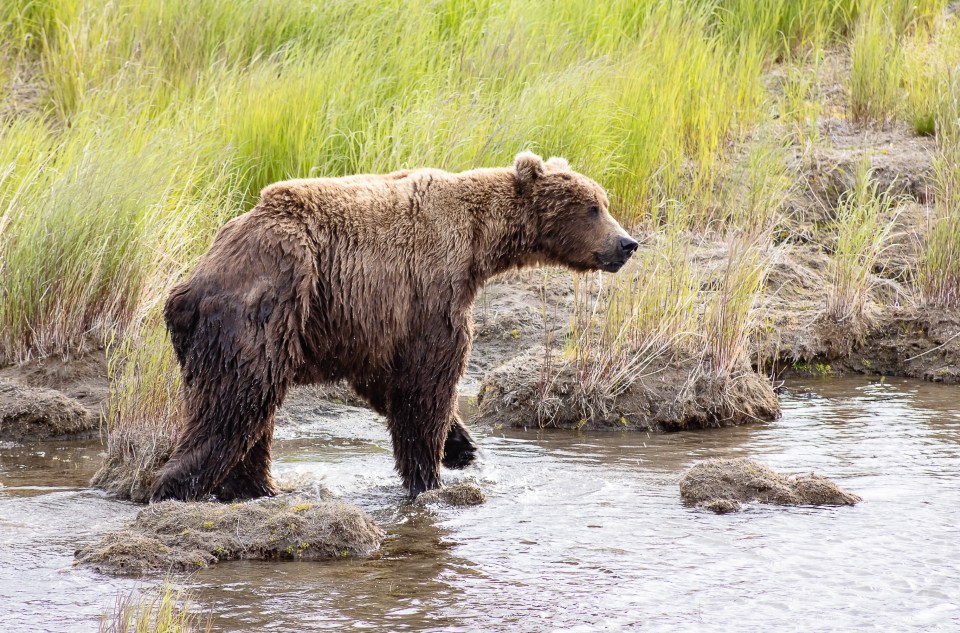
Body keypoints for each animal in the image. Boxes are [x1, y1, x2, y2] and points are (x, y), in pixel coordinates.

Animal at [149, 151, 638, 502]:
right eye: (593, 208)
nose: (627, 243)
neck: (479, 243)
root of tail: (190, 284)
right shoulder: (429, 289)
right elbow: (426, 383)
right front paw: (430, 476)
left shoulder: (370, 323)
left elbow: (387, 382)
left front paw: (462, 448)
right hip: (262, 309)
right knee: (236, 403)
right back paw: (174, 487)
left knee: (250, 417)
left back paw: (260, 488)